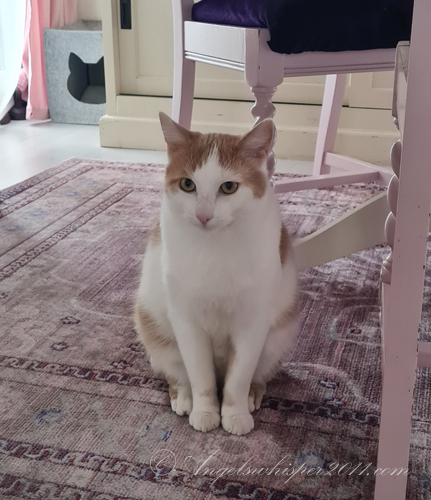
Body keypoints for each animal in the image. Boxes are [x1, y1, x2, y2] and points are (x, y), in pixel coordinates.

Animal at [134, 113, 298, 436]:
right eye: (187, 184)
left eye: (228, 187)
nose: (203, 215)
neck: (215, 247)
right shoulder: (187, 321)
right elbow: (201, 377)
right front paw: (205, 410)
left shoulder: (253, 322)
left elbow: (238, 378)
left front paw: (235, 414)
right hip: (155, 326)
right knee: (175, 371)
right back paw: (183, 396)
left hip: (277, 338)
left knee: (257, 374)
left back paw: (252, 395)